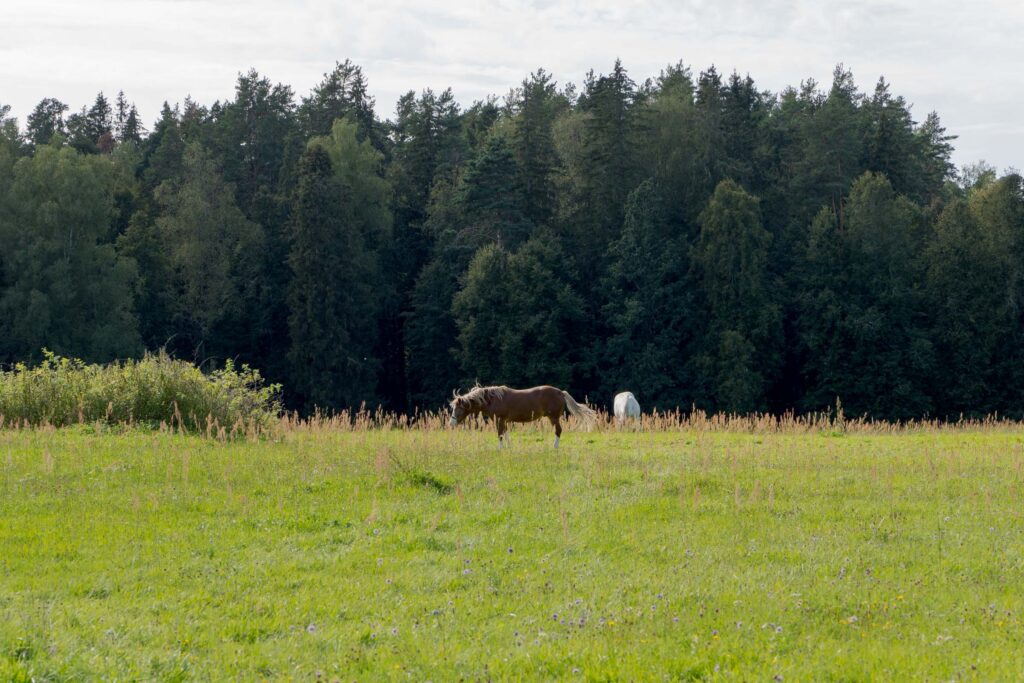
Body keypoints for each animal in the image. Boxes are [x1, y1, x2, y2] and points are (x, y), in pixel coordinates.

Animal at [449, 384, 597, 449]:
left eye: (458, 408)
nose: (451, 423)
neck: (493, 399)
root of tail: (561, 392)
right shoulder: (503, 421)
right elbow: (506, 434)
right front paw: (509, 447)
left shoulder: (499, 419)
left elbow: (500, 434)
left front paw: (500, 449)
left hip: (553, 417)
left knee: (558, 431)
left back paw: (554, 447)